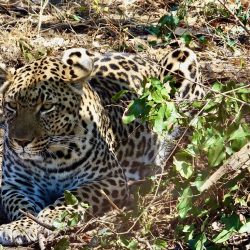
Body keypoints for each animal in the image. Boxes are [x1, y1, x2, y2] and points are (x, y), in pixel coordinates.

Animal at [0, 46, 204, 245]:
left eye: (47, 107)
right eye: (11, 106)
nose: (21, 142)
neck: (49, 158)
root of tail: (145, 58)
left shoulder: (111, 179)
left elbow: (75, 195)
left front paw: (50, 216)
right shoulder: (13, 184)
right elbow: (19, 204)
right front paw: (21, 226)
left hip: (183, 58)